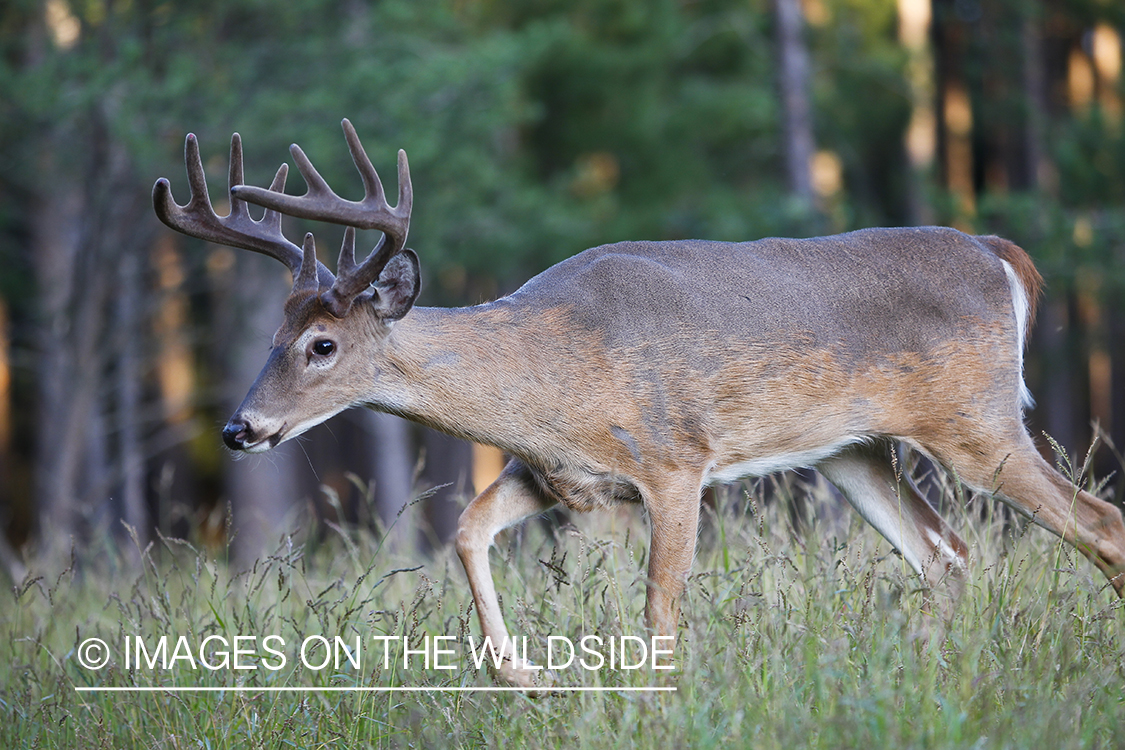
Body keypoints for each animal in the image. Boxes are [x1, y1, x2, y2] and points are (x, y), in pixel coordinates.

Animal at [154, 119, 1125, 688]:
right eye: (272, 334)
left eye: (322, 345)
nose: (240, 428)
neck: (547, 377)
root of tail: (998, 253)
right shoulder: (560, 476)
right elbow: (466, 532)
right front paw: (526, 679)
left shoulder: (673, 459)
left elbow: (659, 604)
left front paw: (655, 703)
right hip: (853, 450)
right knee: (946, 553)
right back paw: (919, 677)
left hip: (977, 420)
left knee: (1096, 521)